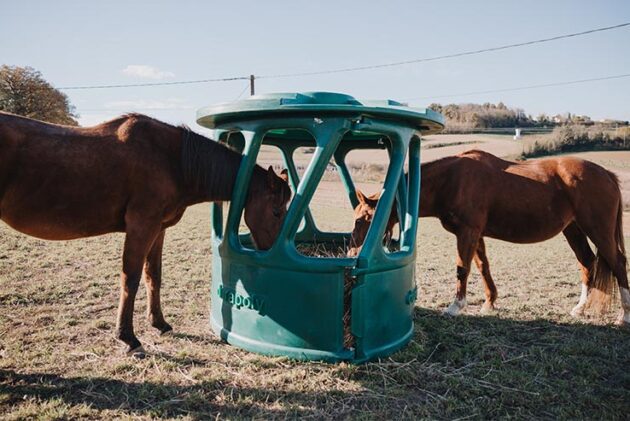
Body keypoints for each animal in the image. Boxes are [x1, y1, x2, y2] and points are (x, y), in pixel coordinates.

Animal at [0, 110, 292, 352]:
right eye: (277, 211)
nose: (270, 250)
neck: (173, 161)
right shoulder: (142, 226)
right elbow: (130, 279)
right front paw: (127, 337)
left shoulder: (158, 229)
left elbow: (154, 276)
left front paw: (159, 323)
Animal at [350, 149, 630, 324]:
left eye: (363, 219)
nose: (353, 252)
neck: (451, 180)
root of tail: (607, 174)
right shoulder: (476, 235)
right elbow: (483, 266)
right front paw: (489, 302)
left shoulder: (468, 232)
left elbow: (462, 269)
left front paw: (455, 307)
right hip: (573, 229)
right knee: (587, 263)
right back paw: (580, 308)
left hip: (598, 230)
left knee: (617, 264)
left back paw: (624, 315)